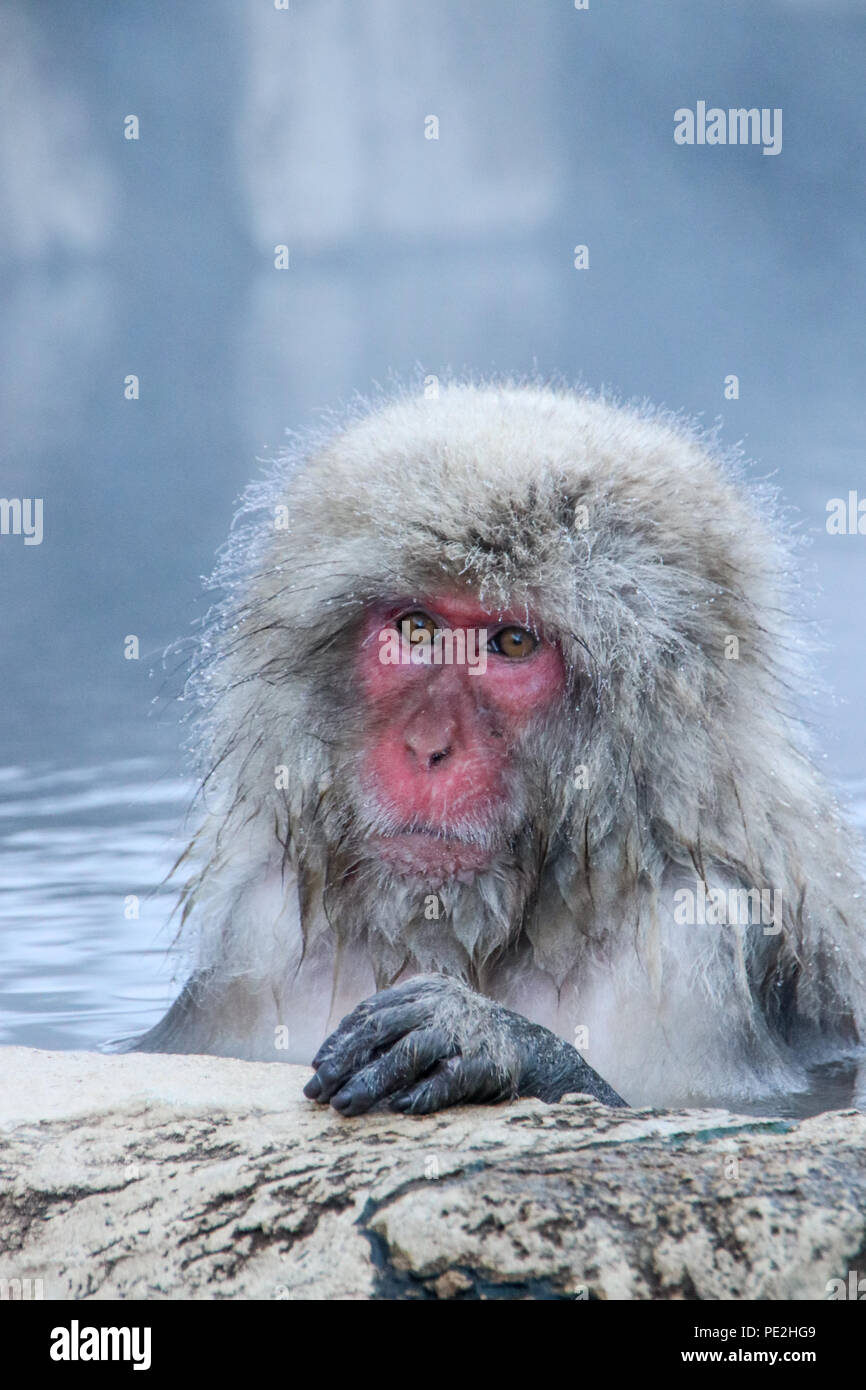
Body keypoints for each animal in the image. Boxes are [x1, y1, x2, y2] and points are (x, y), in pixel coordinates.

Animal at [133, 381, 866, 1116]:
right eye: (417, 629)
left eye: (513, 642)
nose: (430, 748)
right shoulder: (257, 939)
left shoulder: (693, 955)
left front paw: (484, 1034)